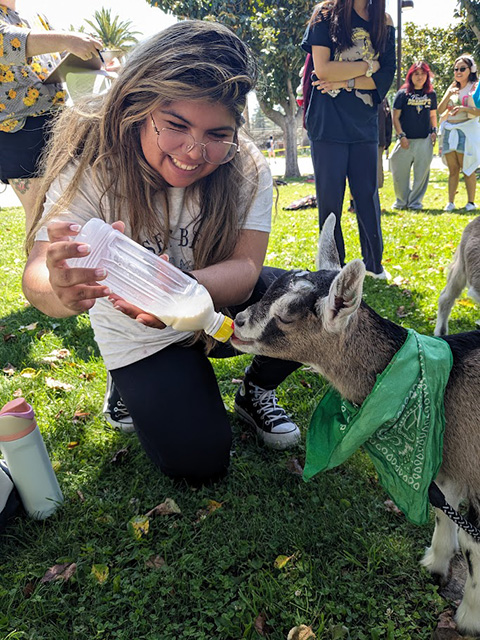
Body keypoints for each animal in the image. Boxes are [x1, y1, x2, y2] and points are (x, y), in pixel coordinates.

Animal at [232, 214, 480, 636]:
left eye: (287, 314)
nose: (237, 321)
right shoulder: (445, 463)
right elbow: (444, 511)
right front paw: (434, 566)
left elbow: (474, 544)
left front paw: (468, 619)